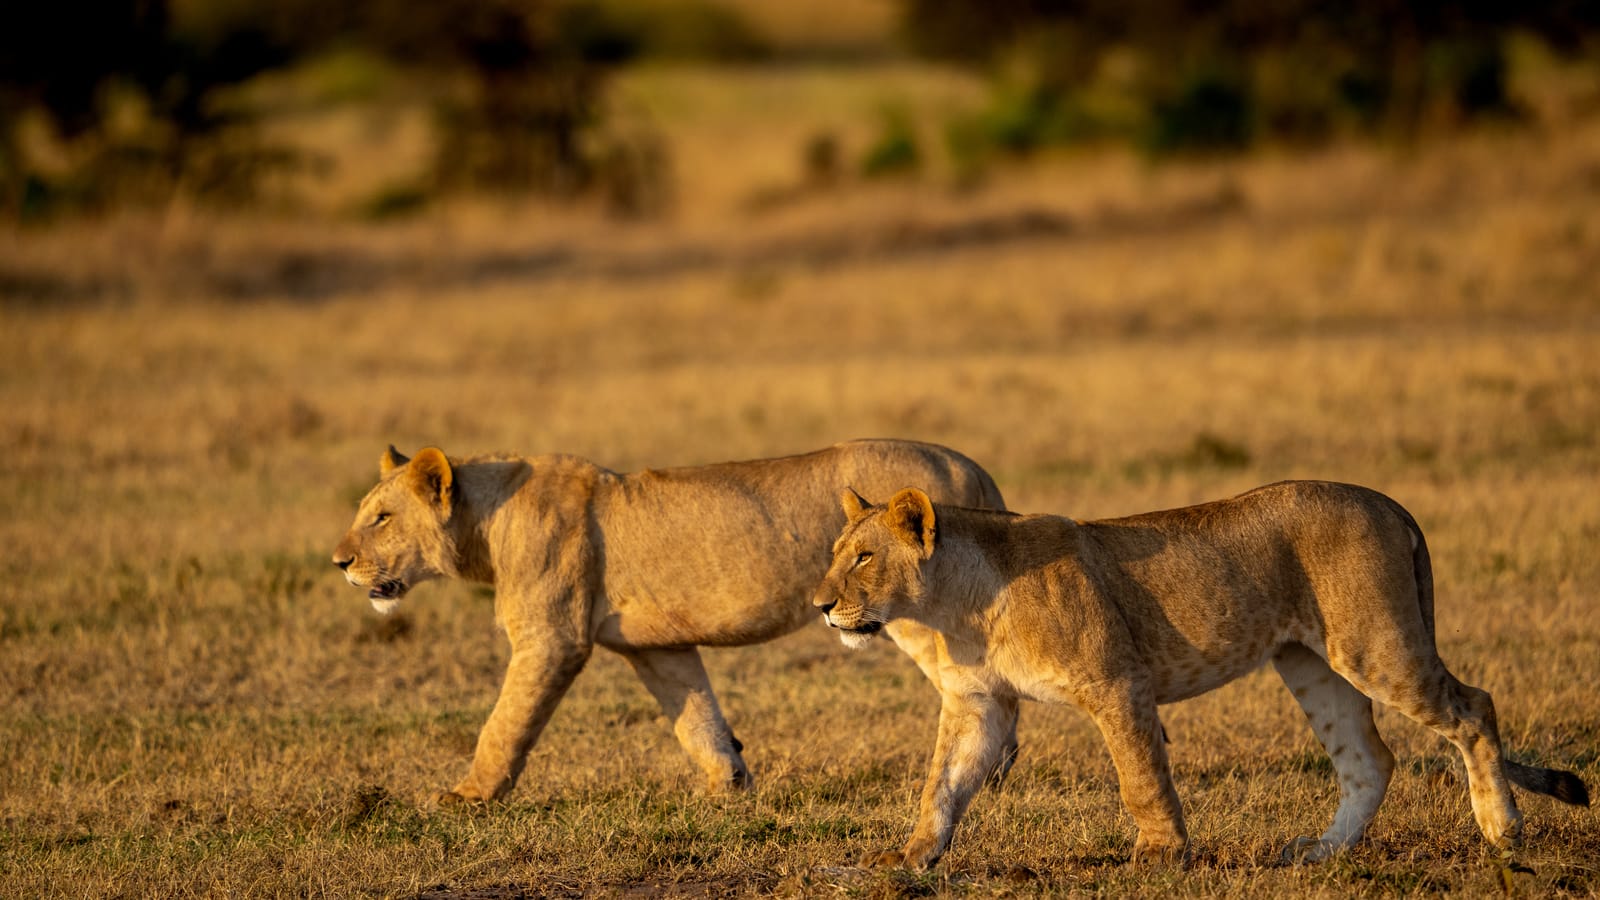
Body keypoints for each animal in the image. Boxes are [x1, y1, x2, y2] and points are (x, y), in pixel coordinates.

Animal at [331, 438, 1017, 794]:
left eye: (381, 518)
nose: (339, 561)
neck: (486, 522)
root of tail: (971, 466)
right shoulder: (655, 646)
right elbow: (698, 719)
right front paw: (729, 788)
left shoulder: (553, 639)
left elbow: (504, 723)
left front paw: (466, 797)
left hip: (917, 615)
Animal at [819, 480, 1593, 864]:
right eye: (834, 554)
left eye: (864, 557)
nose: (822, 606)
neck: (956, 607)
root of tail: (1389, 502)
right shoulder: (981, 702)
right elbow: (942, 786)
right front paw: (910, 860)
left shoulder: (1117, 682)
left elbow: (1140, 777)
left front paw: (1161, 855)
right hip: (1311, 663)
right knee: (1370, 758)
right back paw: (1321, 853)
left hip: (1377, 644)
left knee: (1475, 707)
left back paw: (1502, 830)